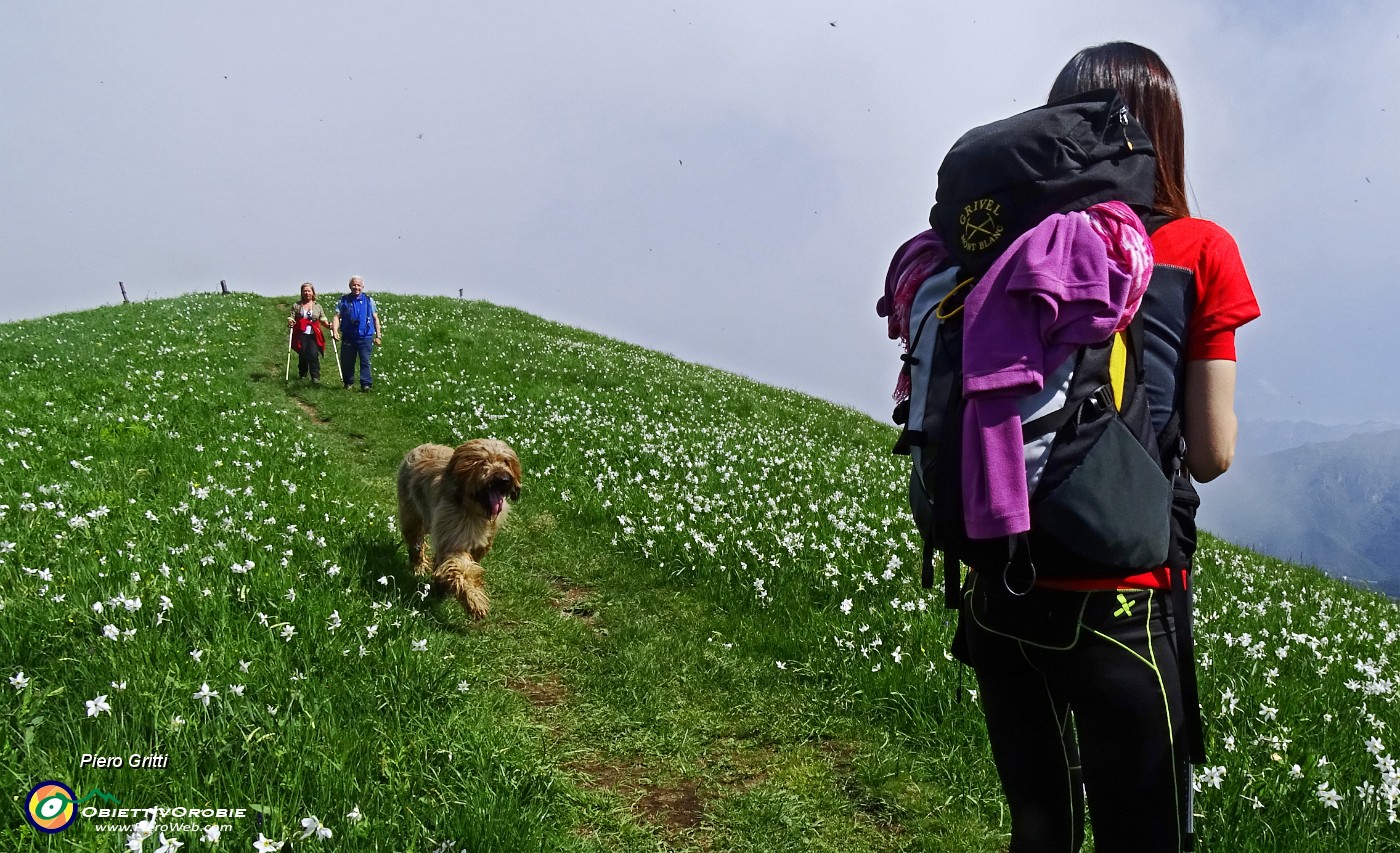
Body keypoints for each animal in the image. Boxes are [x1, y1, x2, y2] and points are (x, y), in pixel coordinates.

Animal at [397, 439, 523, 619]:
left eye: (505, 461)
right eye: (483, 462)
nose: (504, 479)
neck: (473, 508)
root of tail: (420, 447)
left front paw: (443, 586)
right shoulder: (454, 537)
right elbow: (461, 569)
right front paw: (475, 601)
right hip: (411, 515)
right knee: (415, 543)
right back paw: (418, 566)